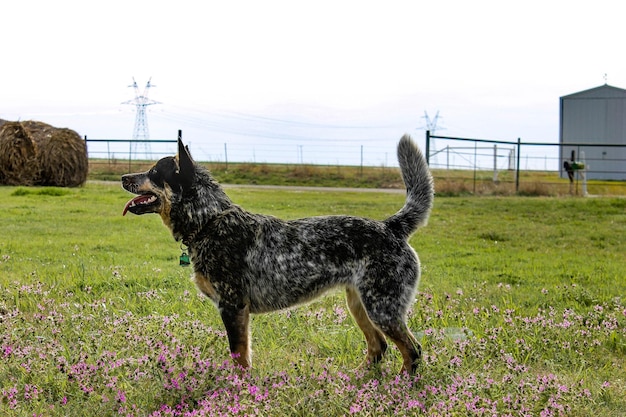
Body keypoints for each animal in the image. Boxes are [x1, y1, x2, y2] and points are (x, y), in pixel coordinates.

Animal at [122, 135, 434, 372]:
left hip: (382, 309)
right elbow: (242, 355)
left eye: (153, 172)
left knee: (413, 350)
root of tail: (391, 226)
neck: (209, 221)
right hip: (359, 305)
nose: (124, 177)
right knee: (379, 346)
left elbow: (239, 357)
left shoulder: (233, 307)